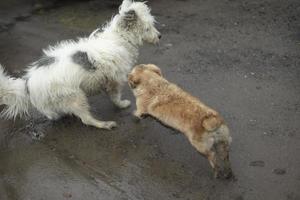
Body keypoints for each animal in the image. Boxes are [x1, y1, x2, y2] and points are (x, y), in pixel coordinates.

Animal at [0, 0, 162, 130]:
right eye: (148, 28)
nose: (160, 36)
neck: (120, 38)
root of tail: (27, 83)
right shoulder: (115, 80)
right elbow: (115, 97)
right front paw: (122, 105)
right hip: (76, 97)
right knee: (86, 119)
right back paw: (104, 124)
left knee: (53, 114)